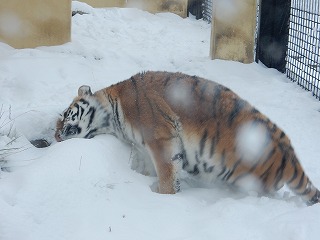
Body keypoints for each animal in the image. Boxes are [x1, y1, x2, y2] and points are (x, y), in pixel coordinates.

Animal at [55, 71, 320, 204]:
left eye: (65, 115)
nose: (56, 136)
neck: (113, 117)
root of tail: (289, 156)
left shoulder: (161, 138)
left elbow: (166, 172)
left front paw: (164, 197)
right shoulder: (143, 148)